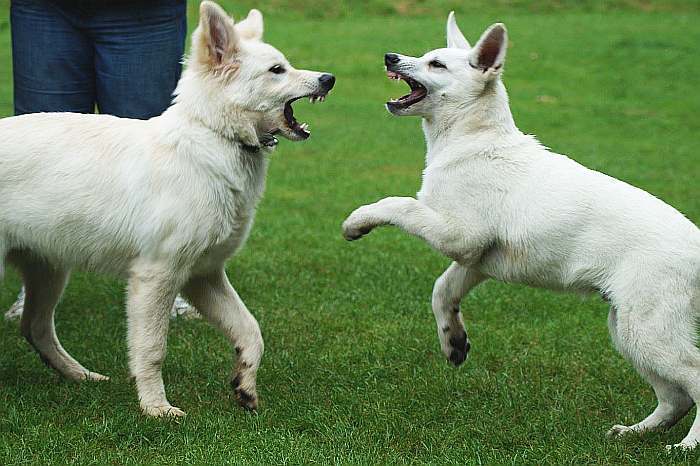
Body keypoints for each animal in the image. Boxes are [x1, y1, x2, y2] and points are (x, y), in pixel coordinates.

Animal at [0, 0, 334, 416]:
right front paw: (156, 408)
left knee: (36, 327)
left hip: (50, 270)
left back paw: (81, 376)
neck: (213, 136)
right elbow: (152, 349)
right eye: (277, 70)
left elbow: (250, 330)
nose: (329, 79)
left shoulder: (204, 275)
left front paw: (245, 386)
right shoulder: (156, 276)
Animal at [344, 12, 700, 450]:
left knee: (693, 380)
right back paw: (635, 431)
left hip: (649, 330)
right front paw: (453, 341)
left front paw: (357, 222)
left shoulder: (460, 237)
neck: (473, 140)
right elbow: (442, 291)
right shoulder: (475, 261)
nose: (390, 56)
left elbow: (399, 204)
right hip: (629, 330)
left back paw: (688, 445)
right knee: (675, 398)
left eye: (436, 64)